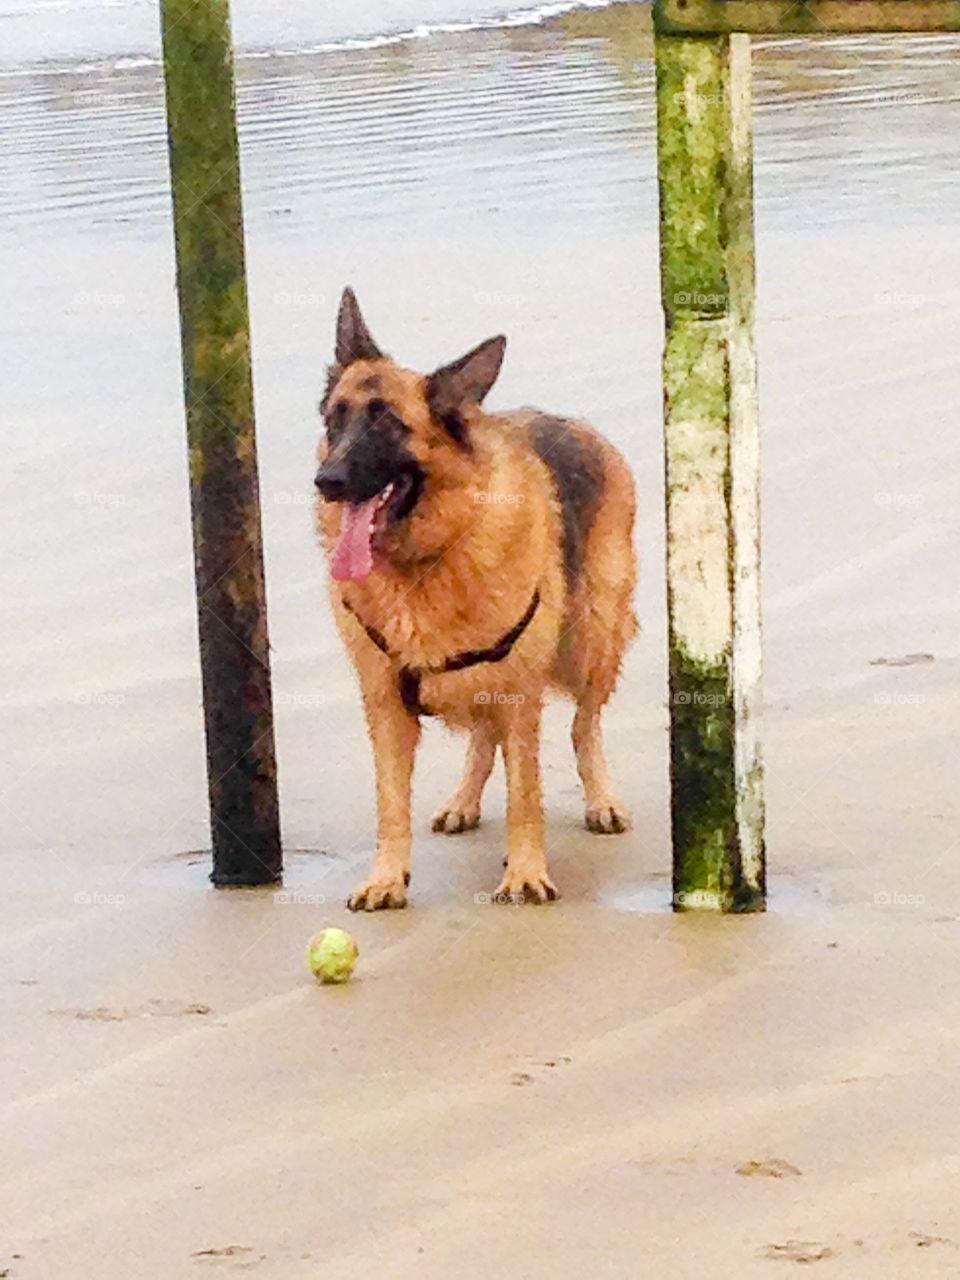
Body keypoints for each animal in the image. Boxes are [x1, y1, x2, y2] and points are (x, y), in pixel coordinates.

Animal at [316, 290, 640, 911]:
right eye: (335, 417)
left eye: (388, 424)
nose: (328, 480)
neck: (427, 555)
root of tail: (575, 423)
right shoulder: (386, 703)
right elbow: (391, 804)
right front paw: (386, 877)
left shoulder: (519, 693)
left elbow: (526, 794)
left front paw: (526, 873)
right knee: (484, 737)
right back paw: (463, 801)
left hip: (592, 638)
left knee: (584, 725)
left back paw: (602, 799)